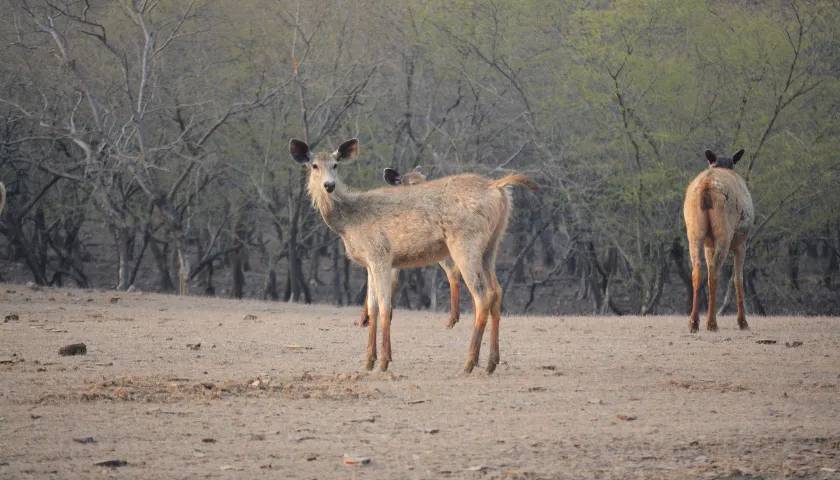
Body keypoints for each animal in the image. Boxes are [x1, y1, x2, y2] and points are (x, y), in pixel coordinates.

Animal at [354, 166, 460, 330]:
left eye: (426, 179)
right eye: (413, 183)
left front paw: (370, 319)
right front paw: (368, 319)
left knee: (455, 271)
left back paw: (453, 319)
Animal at [684, 148, 756, 332]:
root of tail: (706, 186)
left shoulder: (708, 246)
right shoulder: (741, 242)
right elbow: (738, 280)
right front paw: (743, 322)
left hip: (694, 233)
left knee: (697, 270)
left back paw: (694, 322)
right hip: (724, 233)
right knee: (714, 273)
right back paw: (711, 322)